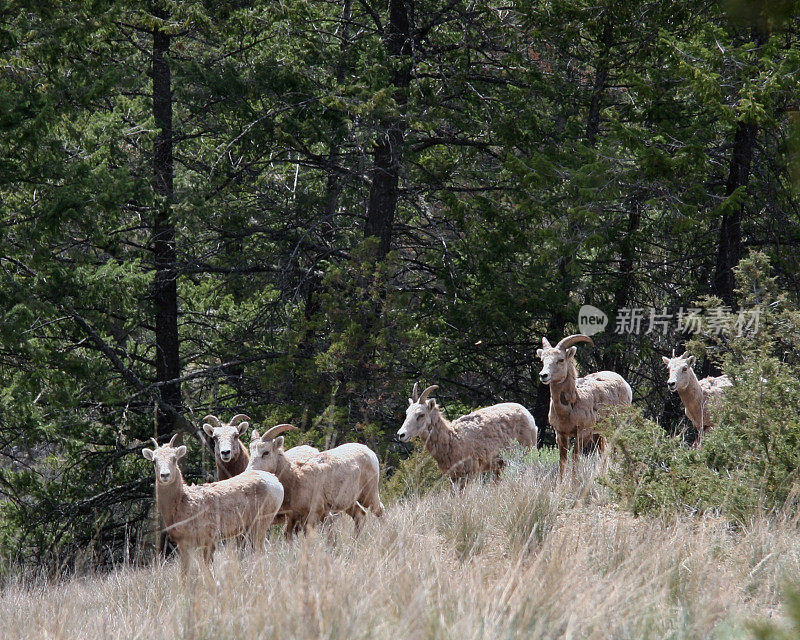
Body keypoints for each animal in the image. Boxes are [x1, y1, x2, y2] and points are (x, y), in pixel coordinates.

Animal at [141, 436, 284, 564]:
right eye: (154, 461)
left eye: (174, 458)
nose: (165, 475)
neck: (183, 502)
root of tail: (277, 483)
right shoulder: (183, 543)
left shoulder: (209, 537)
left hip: (261, 521)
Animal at [250, 428, 388, 536]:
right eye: (251, 451)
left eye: (266, 452)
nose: (250, 470)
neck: (295, 477)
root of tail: (369, 452)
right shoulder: (297, 517)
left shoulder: (312, 515)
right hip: (349, 502)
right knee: (360, 515)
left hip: (369, 495)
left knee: (379, 511)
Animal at [396, 382, 536, 488]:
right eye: (407, 412)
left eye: (421, 414)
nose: (401, 434)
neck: (453, 438)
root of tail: (529, 416)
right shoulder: (453, 476)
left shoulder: (469, 473)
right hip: (500, 467)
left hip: (525, 454)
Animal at [536, 336, 632, 476]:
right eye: (542, 360)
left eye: (561, 359)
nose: (543, 375)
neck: (567, 411)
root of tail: (625, 384)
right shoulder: (561, 434)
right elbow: (563, 462)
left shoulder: (583, 433)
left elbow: (575, 458)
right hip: (598, 434)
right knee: (603, 453)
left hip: (616, 427)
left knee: (616, 452)